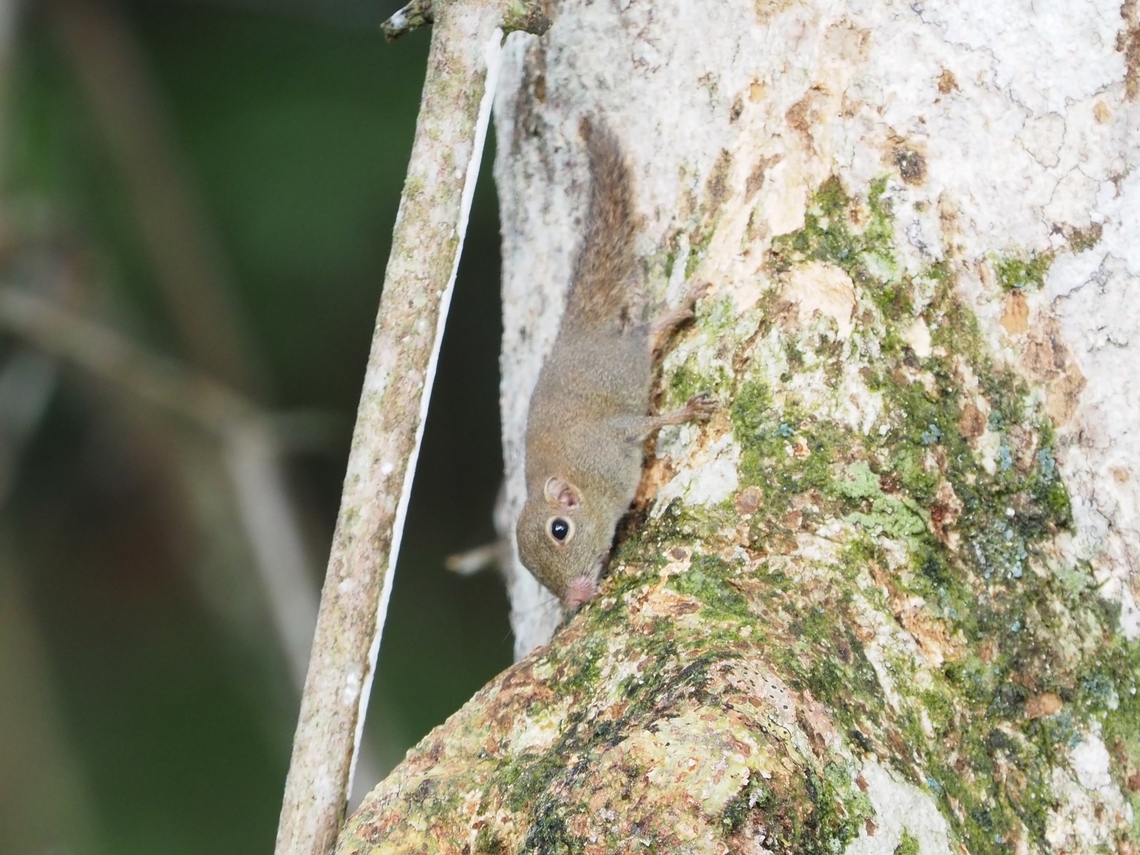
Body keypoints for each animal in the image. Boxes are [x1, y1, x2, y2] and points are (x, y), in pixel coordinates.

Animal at [515, 118, 714, 611]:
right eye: (531, 571)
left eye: (560, 530)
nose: (575, 598)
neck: (586, 484)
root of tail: (573, 331)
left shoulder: (609, 440)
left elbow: (647, 424)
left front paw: (688, 412)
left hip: (624, 357)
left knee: (644, 333)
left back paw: (680, 307)